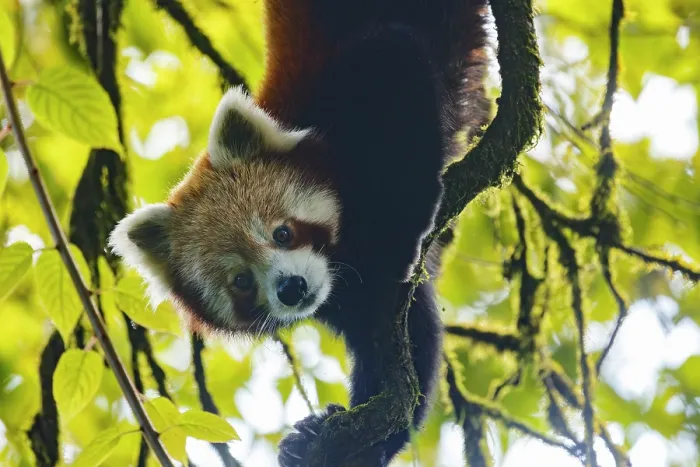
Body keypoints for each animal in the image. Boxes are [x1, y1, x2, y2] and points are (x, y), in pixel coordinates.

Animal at [109, 1, 488, 465]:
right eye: (241, 281)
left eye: (282, 234)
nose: (291, 288)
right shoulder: (350, 293)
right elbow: (410, 347)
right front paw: (338, 439)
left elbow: (395, 52)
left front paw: (402, 236)